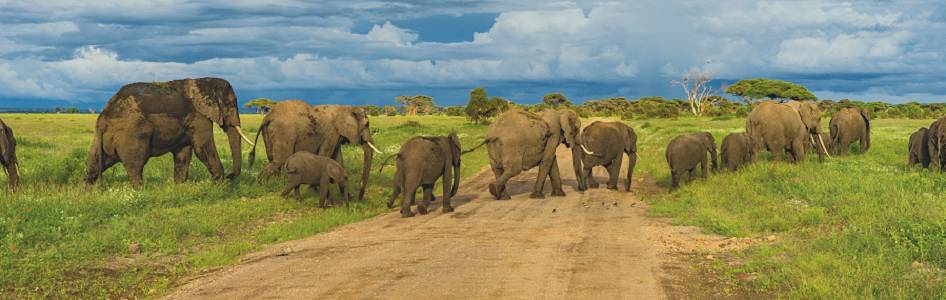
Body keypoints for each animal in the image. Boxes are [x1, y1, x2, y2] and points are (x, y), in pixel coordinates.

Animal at [83, 78, 253, 185]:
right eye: (232, 103)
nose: (231, 177)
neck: (203, 81)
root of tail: (103, 117)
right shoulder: (198, 116)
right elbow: (202, 147)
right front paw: (218, 186)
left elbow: (183, 153)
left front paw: (179, 186)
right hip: (131, 134)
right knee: (136, 164)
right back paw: (139, 191)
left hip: (103, 137)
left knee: (95, 161)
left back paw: (86, 192)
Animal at [253, 99, 386, 200]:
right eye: (367, 124)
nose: (359, 198)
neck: (345, 107)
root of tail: (267, 116)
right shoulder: (331, 134)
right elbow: (325, 155)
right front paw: (318, 191)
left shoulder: (336, 135)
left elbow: (338, 160)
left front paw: (347, 196)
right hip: (284, 131)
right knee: (281, 159)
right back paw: (260, 185)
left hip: (270, 132)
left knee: (273, 159)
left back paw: (274, 184)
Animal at [460, 108, 588, 199]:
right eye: (576, 129)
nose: (583, 190)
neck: (560, 112)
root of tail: (493, 132)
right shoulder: (554, 134)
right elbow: (547, 160)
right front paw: (537, 197)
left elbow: (552, 162)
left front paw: (559, 195)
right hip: (511, 144)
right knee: (514, 169)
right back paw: (495, 190)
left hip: (492, 145)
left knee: (497, 168)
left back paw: (502, 196)